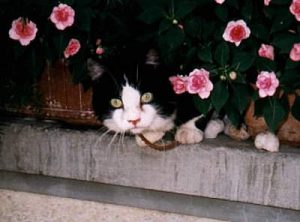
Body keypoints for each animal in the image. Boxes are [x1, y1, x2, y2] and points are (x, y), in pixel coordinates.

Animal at [85, 46, 224, 147]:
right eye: (116, 102)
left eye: (146, 96)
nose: (134, 120)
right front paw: (151, 133)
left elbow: (201, 104)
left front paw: (189, 130)